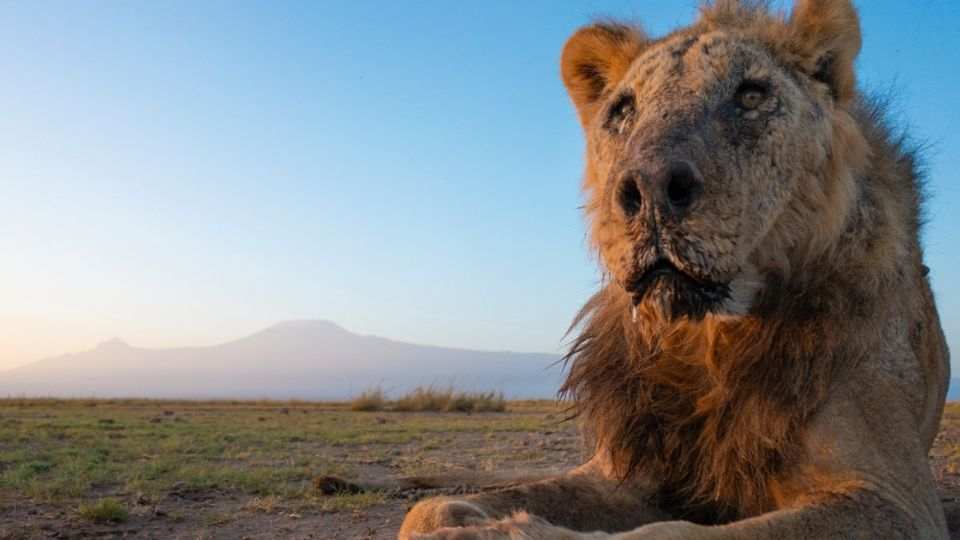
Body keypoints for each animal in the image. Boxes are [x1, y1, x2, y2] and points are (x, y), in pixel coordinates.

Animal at [394, 2, 948, 536]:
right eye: (623, 110)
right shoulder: (627, 472)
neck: (707, 340)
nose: (650, 188)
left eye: (751, 96)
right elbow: (428, 511)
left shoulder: (893, 499)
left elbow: (671, 531)